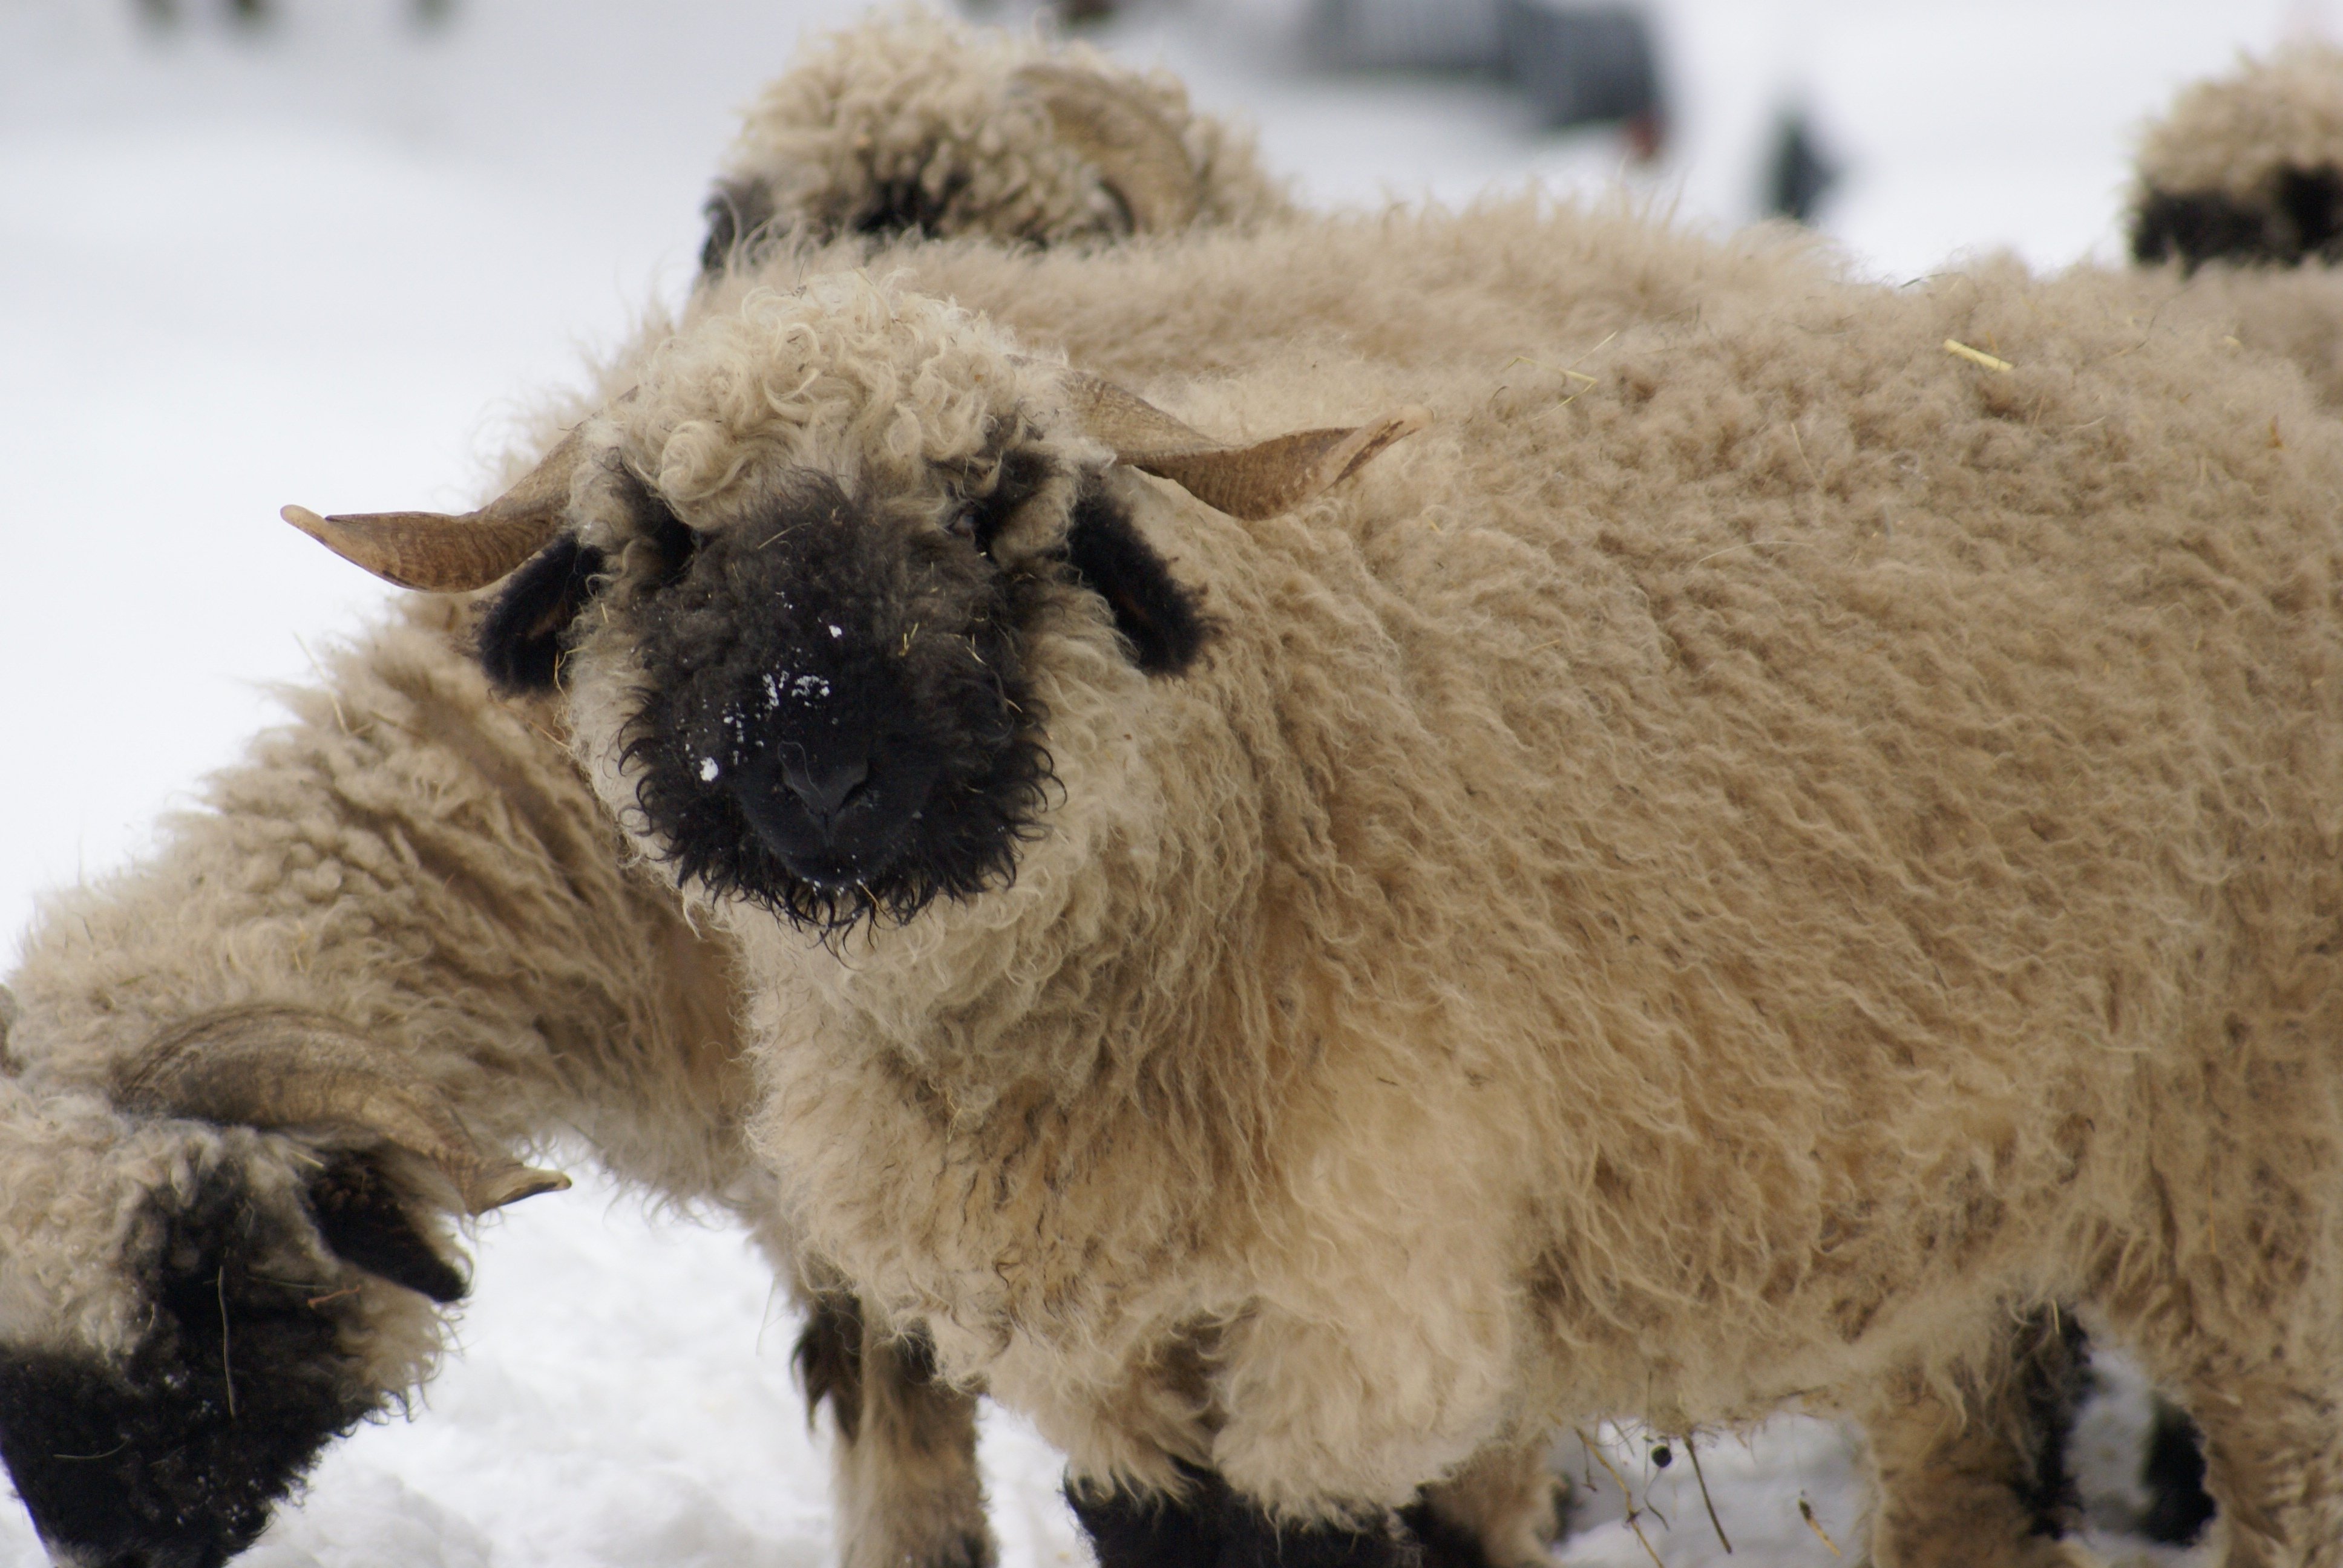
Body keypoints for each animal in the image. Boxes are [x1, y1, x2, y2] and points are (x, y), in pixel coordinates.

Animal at [279, 194, 2343, 1568]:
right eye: (654, 535)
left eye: (1002, 503)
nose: (817, 755)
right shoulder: (1113, 1366)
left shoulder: (1366, 1327)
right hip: (1955, 1219)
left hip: (2262, 1185)